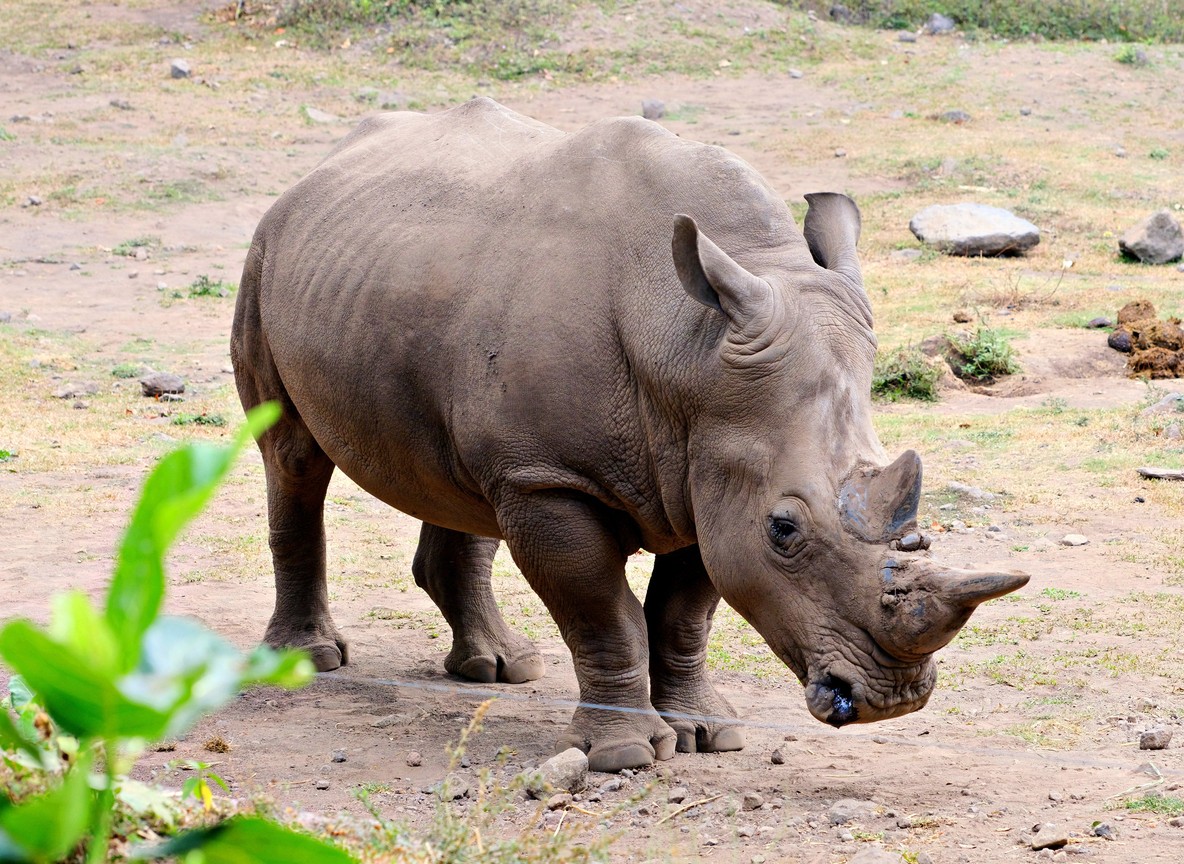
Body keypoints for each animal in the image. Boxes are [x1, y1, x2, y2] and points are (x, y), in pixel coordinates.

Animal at [232, 97, 1027, 772]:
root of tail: (320, 169)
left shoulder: (708, 469)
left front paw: (707, 733)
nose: (893, 700)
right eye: (785, 530)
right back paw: (307, 662)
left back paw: (501, 668)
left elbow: (683, 613)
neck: (689, 349)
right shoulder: (553, 476)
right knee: (293, 457)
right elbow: (601, 612)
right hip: (264, 258)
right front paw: (625, 756)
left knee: (460, 481)